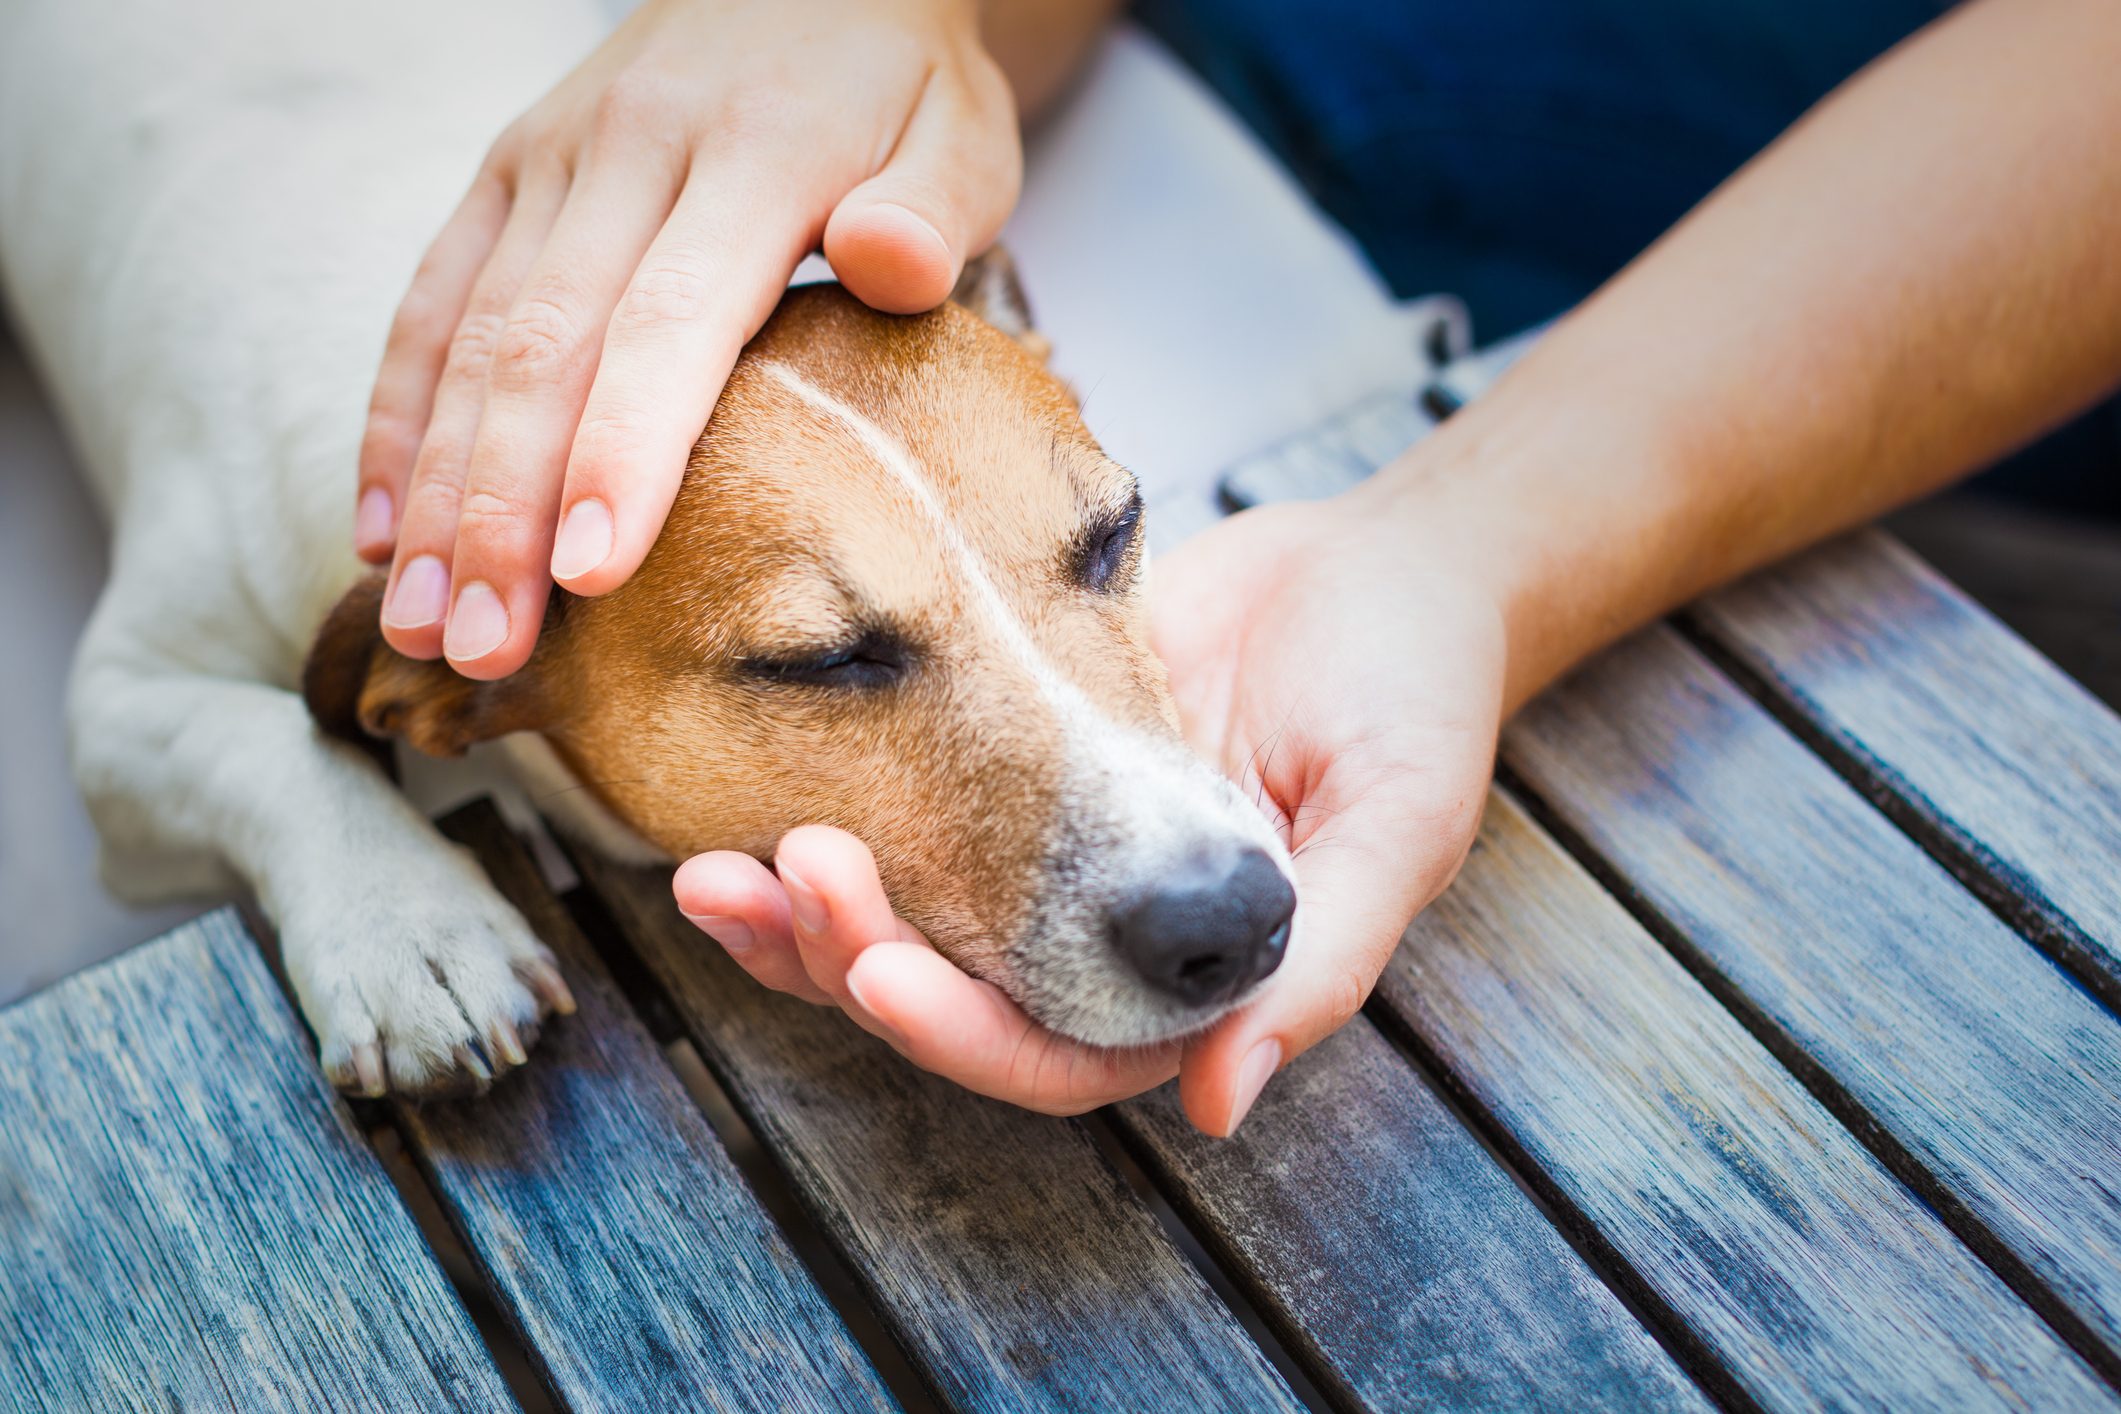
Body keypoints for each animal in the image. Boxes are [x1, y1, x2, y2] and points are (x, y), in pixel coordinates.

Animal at [0, 0, 1298, 1093]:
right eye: (822, 662)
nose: (1232, 918)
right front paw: (407, 926)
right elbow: (270, 741)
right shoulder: (121, 703)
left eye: (1114, 534)